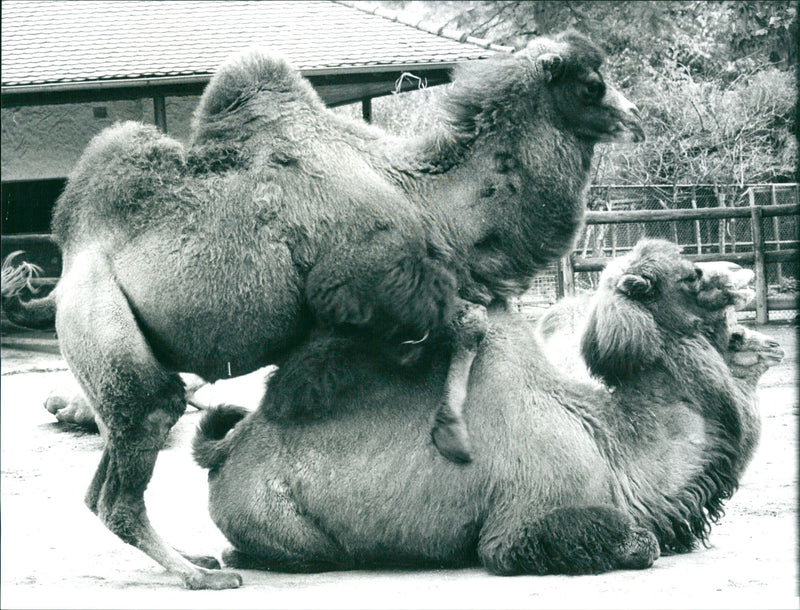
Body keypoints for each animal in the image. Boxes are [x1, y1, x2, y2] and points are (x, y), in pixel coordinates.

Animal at [0, 30, 640, 588]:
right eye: (591, 84)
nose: (632, 118)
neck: (418, 193)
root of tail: (64, 277)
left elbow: (461, 325)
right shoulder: (363, 288)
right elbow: (468, 322)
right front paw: (453, 436)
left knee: (103, 481)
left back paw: (196, 557)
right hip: (104, 329)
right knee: (138, 443)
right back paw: (204, 577)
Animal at [194, 240, 780, 572]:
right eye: (689, 277)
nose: (743, 275)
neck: (612, 443)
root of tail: (225, 455)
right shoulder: (524, 522)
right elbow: (640, 544)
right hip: (281, 523)